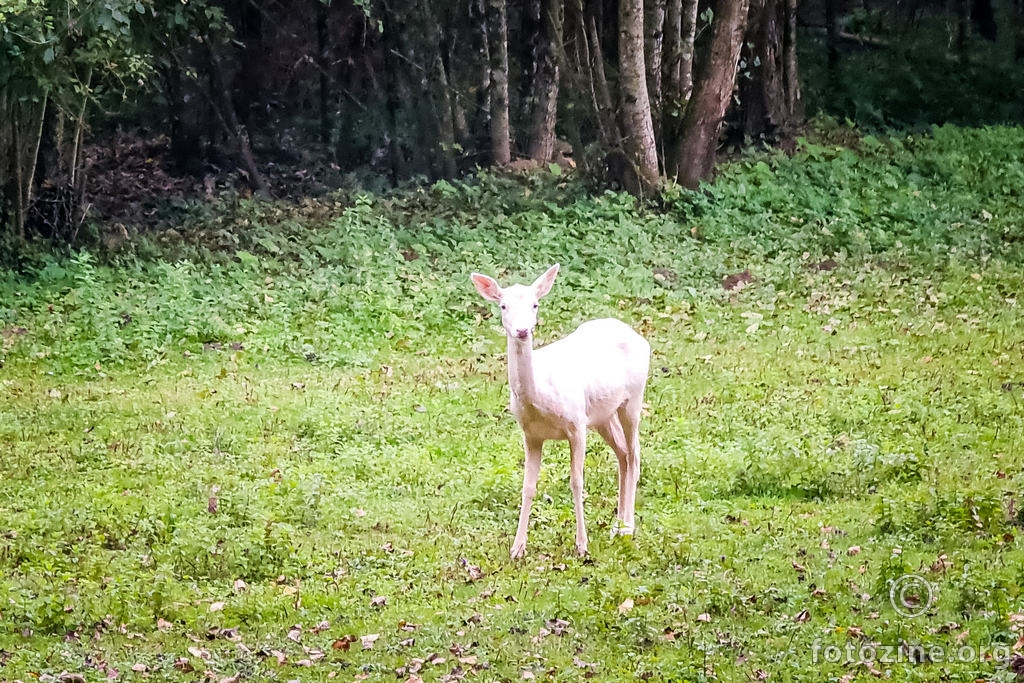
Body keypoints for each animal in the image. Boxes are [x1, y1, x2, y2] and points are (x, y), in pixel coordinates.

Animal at [468, 264, 647, 557]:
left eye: (535, 304)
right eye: (503, 306)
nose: (522, 330)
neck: (540, 400)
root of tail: (636, 335)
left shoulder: (576, 424)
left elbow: (577, 482)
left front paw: (582, 546)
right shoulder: (531, 434)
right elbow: (528, 486)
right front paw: (517, 548)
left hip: (633, 397)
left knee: (634, 454)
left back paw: (627, 528)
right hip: (602, 415)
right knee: (622, 453)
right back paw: (617, 525)